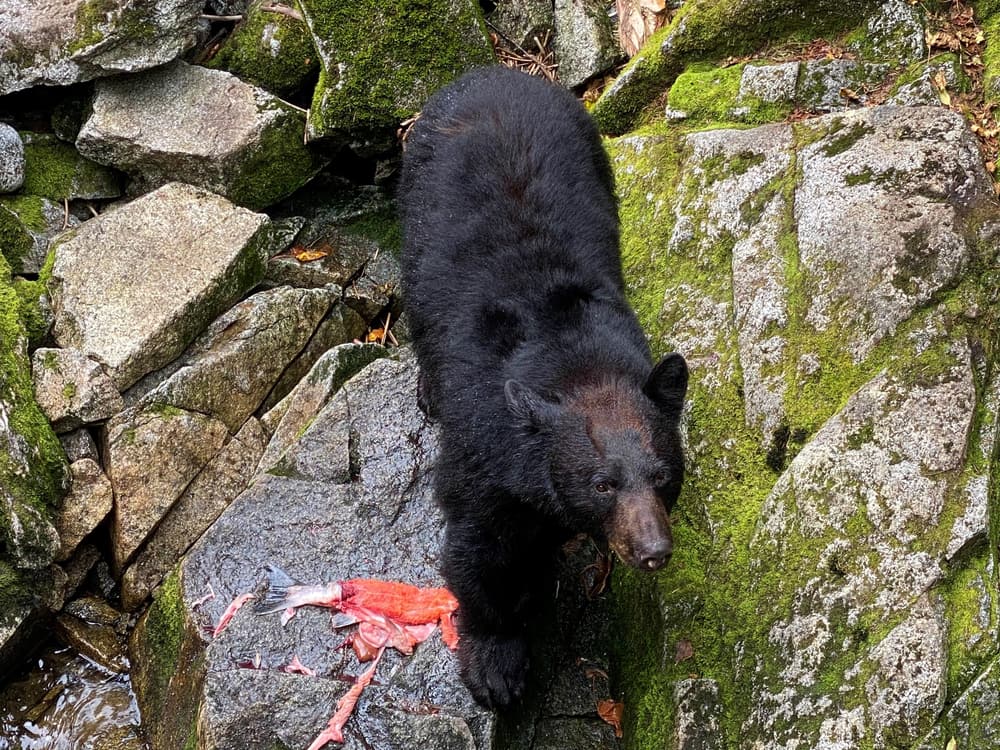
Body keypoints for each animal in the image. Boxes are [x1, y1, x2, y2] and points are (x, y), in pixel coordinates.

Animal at [398, 66, 689, 708]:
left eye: (662, 475)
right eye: (603, 483)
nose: (653, 552)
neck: (575, 361)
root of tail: (492, 70)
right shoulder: (484, 441)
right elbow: (480, 550)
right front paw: (495, 664)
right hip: (417, 206)